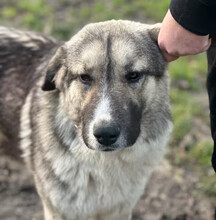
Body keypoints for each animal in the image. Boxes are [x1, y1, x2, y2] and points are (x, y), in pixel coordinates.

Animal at [0, 19, 172, 219]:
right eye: (84, 77)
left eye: (134, 75)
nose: (105, 134)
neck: (104, 165)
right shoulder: (57, 211)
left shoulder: (120, 209)